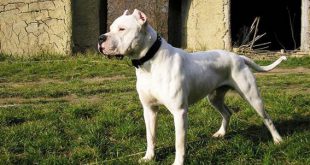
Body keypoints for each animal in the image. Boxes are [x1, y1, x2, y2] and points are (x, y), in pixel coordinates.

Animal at [98, 9, 284, 165]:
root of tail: (238, 57)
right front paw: (149, 157)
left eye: (122, 29)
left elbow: (179, 143)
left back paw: (278, 140)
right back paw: (221, 133)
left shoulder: (179, 112)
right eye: (110, 28)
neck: (149, 62)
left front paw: (178, 163)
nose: (101, 38)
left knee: (267, 118)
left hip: (252, 96)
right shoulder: (149, 110)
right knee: (227, 112)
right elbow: (150, 137)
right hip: (214, 98)